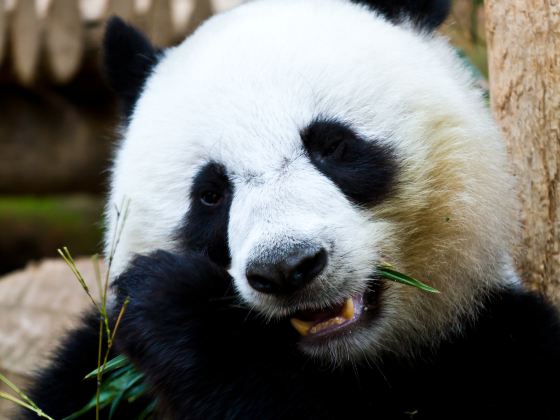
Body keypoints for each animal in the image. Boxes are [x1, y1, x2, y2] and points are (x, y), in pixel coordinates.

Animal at [19, 0, 560, 420]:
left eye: (333, 146)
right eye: (211, 194)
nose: (286, 267)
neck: (350, 361)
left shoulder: (496, 350)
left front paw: (176, 303)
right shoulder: (85, 370)